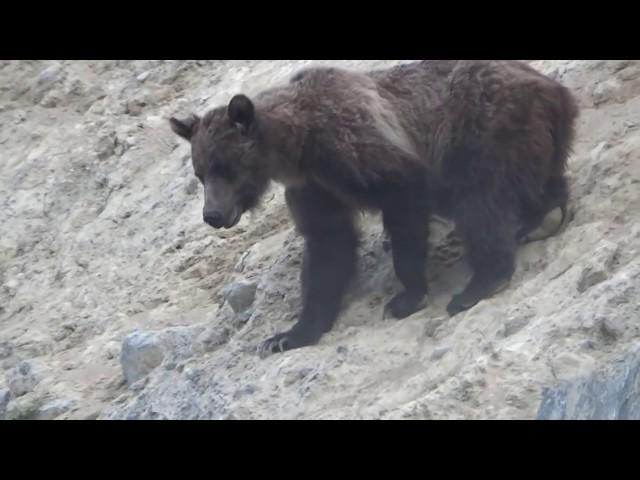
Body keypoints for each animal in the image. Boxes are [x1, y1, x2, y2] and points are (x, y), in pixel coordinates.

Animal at [170, 60, 580, 356]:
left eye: (225, 167)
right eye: (201, 172)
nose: (212, 215)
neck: (297, 148)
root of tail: (555, 89)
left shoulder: (355, 146)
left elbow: (404, 199)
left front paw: (406, 296)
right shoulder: (315, 189)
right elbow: (327, 251)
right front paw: (289, 334)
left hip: (482, 122)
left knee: (480, 198)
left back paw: (479, 283)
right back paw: (540, 215)